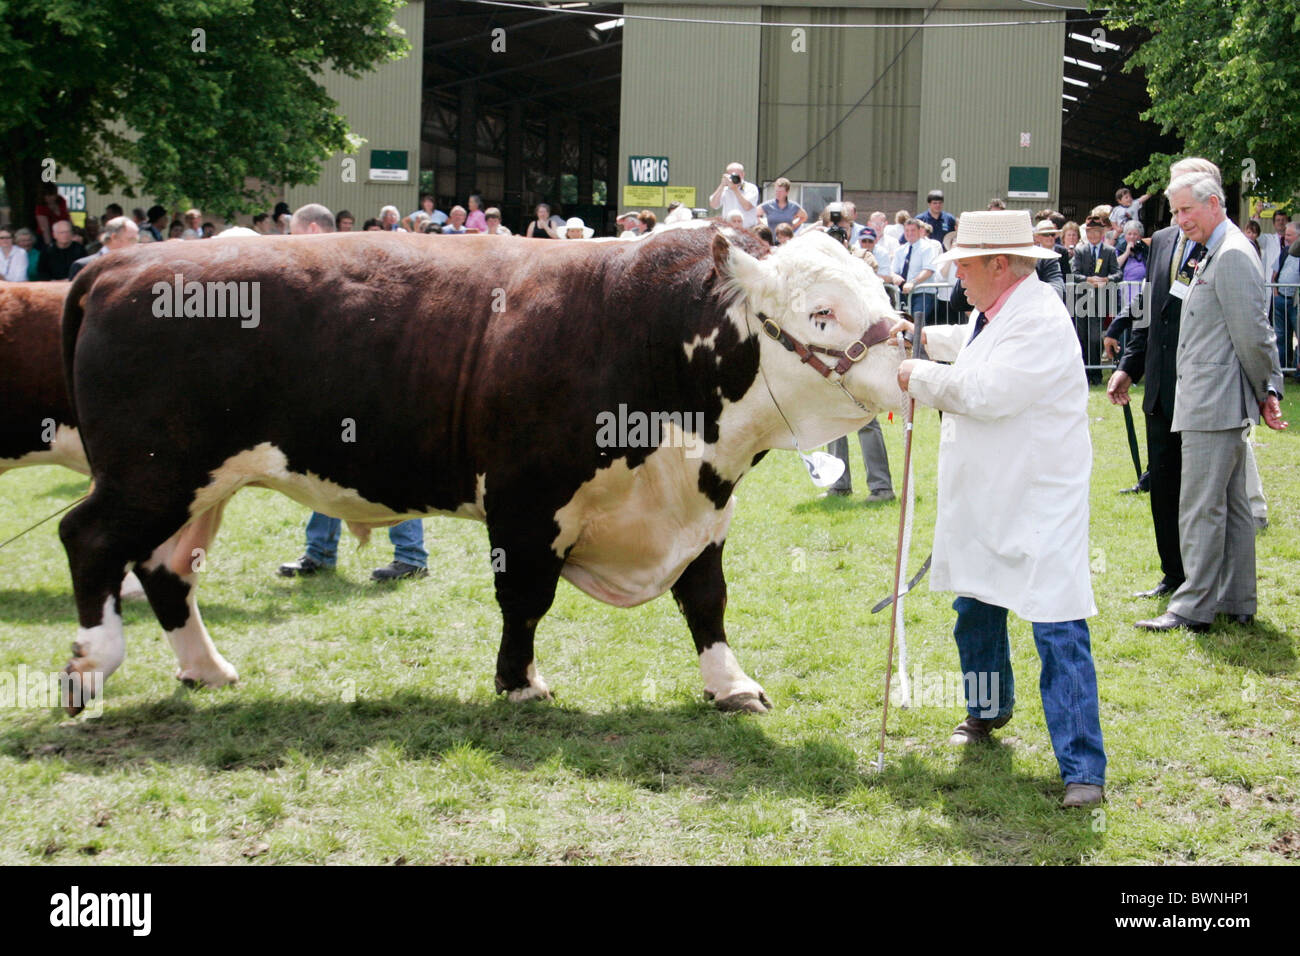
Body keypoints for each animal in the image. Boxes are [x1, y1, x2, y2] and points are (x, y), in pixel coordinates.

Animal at [53, 226, 904, 712]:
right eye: (822, 313)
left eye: (882, 289)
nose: (906, 356)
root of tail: (120, 264)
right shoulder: (526, 502)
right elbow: (525, 600)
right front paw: (519, 683)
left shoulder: (703, 508)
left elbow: (706, 600)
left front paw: (731, 685)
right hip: (151, 473)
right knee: (88, 538)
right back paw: (91, 665)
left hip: (197, 482)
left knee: (166, 568)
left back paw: (207, 670)